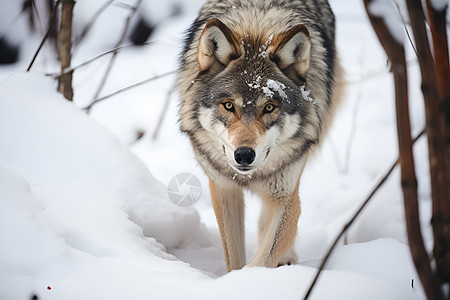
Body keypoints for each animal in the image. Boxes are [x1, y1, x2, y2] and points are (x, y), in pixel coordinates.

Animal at [178, 0, 342, 272]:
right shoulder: (223, 189)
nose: (244, 155)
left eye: (269, 107)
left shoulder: (285, 193)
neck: (256, 31)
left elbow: (265, 255)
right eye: (228, 106)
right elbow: (234, 257)